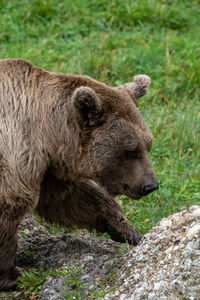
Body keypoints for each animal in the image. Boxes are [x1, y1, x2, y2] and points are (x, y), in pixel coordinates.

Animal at [0, 58, 158, 290]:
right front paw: (14, 274)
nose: (150, 185)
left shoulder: (47, 166)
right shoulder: (16, 150)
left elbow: (69, 198)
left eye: (148, 144)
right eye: (130, 150)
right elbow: (12, 203)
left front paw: (127, 230)